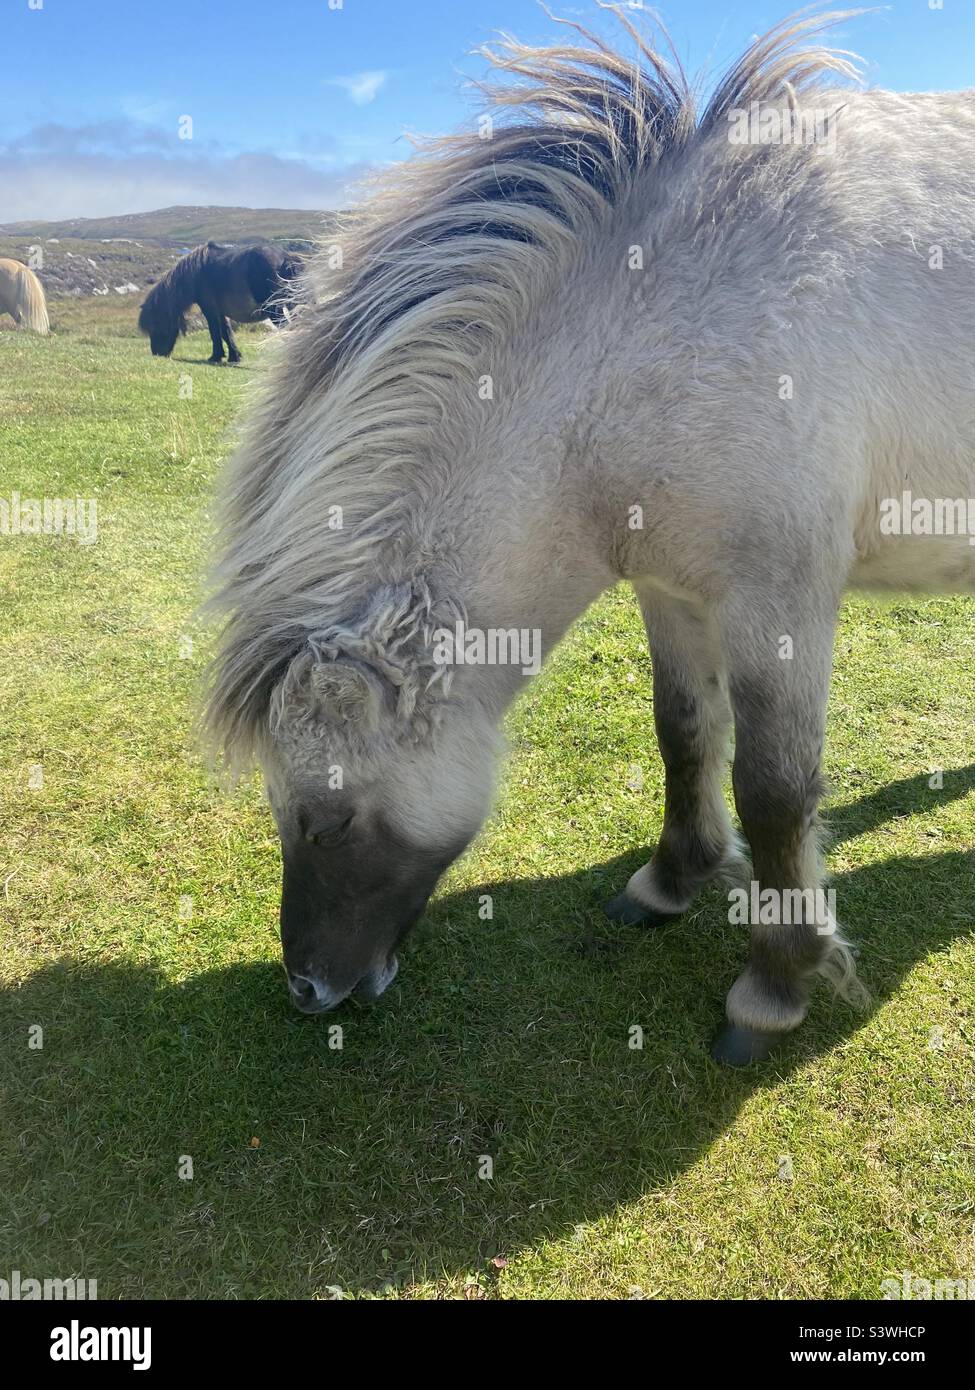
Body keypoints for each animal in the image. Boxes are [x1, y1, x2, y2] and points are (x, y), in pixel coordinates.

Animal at [137, 243, 301, 364]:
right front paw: (234, 357)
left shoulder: (209, 310)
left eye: (156, 324)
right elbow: (226, 333)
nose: (157, 353)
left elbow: (215, 332)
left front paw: (215, 357)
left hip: (275, 310)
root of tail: (286, 258)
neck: (197, 272)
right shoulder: (220, 312)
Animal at [203, 10, 973, 1061]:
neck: (664, 323)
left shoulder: (776, 602)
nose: (309, 989)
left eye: (325, 821)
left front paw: (774, 985)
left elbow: (775, 792)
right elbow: (683, 733)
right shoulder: (673, 590)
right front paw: (670, 881)